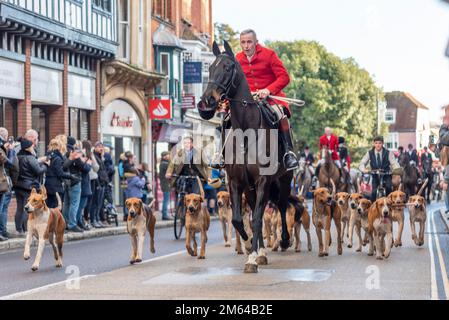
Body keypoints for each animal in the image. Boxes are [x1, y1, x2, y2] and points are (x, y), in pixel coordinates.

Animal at [198, 41, 292, 274]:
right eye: (210, 68)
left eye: (228, 68)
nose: (207, 101)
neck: (247, 131)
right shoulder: (235, 182)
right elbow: (239, 220)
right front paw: (251, 247)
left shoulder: (263, 181)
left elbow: (257, 218)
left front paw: (252, 258)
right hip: (251, 189)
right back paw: (261, 251)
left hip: (284, 179)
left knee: (282, 205)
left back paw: (284, 240)